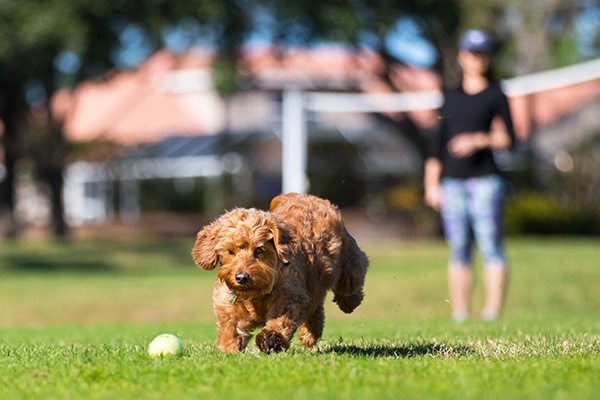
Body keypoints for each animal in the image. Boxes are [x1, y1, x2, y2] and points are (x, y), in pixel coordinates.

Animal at [195, 194, 368, 354]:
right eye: (230, 251)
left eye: (259, 250)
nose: (242, 277)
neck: (257, 294)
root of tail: (303, 196)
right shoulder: (228, 303)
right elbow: (231, 328)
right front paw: (228, 350)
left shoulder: (289, 295)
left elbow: (280, 320)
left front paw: (270, 339)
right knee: (315, 307)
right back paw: (310, 334)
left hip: (349, 264)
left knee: (352, 279)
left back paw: (349, 302)